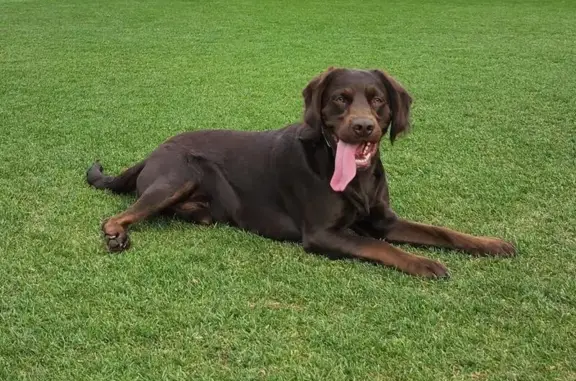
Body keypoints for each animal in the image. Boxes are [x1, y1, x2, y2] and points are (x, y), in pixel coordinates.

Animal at [88, 67, 516, 276]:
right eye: (340, 99)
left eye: (377, 100)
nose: (363, 127)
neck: (354, 178)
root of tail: (153, 151)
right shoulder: (323, 234)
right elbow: (381, 247)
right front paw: (424, 263)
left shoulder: (384, 220)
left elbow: (442, 231)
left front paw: (491, 244)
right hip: (179, 175)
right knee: (117, 215)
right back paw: (116, 236)